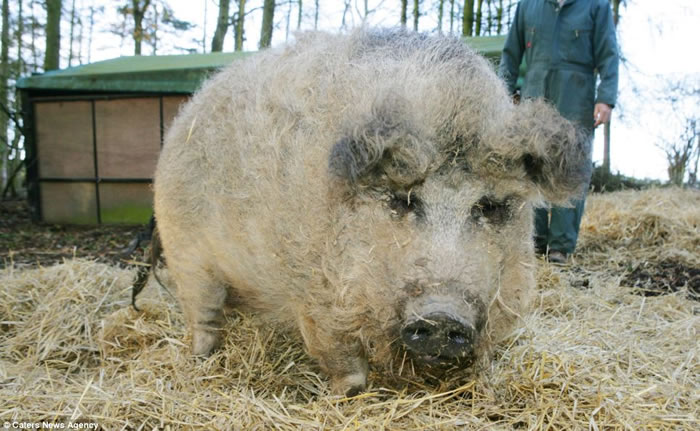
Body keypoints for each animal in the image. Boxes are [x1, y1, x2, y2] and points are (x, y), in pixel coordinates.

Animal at [152, 29, 590, 396]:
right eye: (403, 199)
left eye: (491, 206)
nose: (442, 315)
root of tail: (186, 114)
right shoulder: (315, 294)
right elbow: (343, 362)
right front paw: (348, 396)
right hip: (186, 250)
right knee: (202, 312)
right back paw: (200, 358)